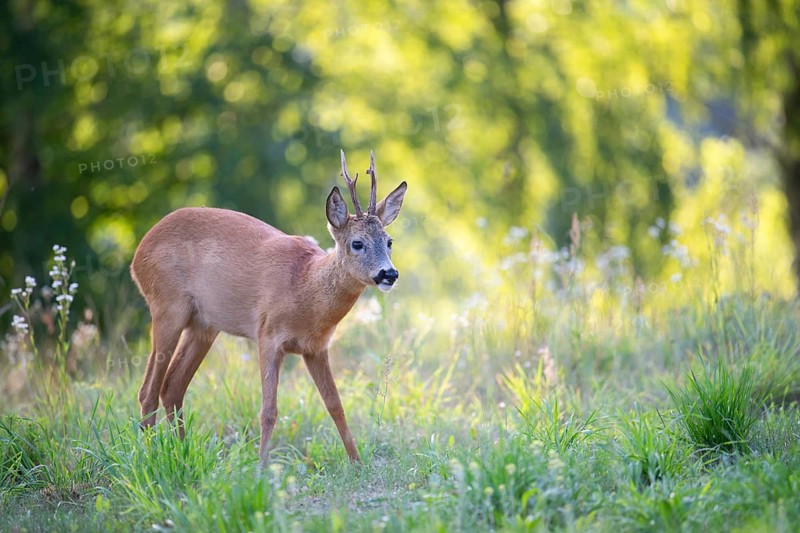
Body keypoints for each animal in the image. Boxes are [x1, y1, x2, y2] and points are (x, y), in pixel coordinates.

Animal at [130, 150, 407, 465]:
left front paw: (357, 464)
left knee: (172, 387)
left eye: (389, 241)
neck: (305, 288)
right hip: (166, 306)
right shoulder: (268, 335)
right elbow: (269, 411)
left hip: (204, 325)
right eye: (357, 243)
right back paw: (150, 457)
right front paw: (261, 466)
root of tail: (137, 254)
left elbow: (336, 406)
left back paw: (181, 452)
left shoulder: (316, 348)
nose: (389, 274)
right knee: (148, 390)